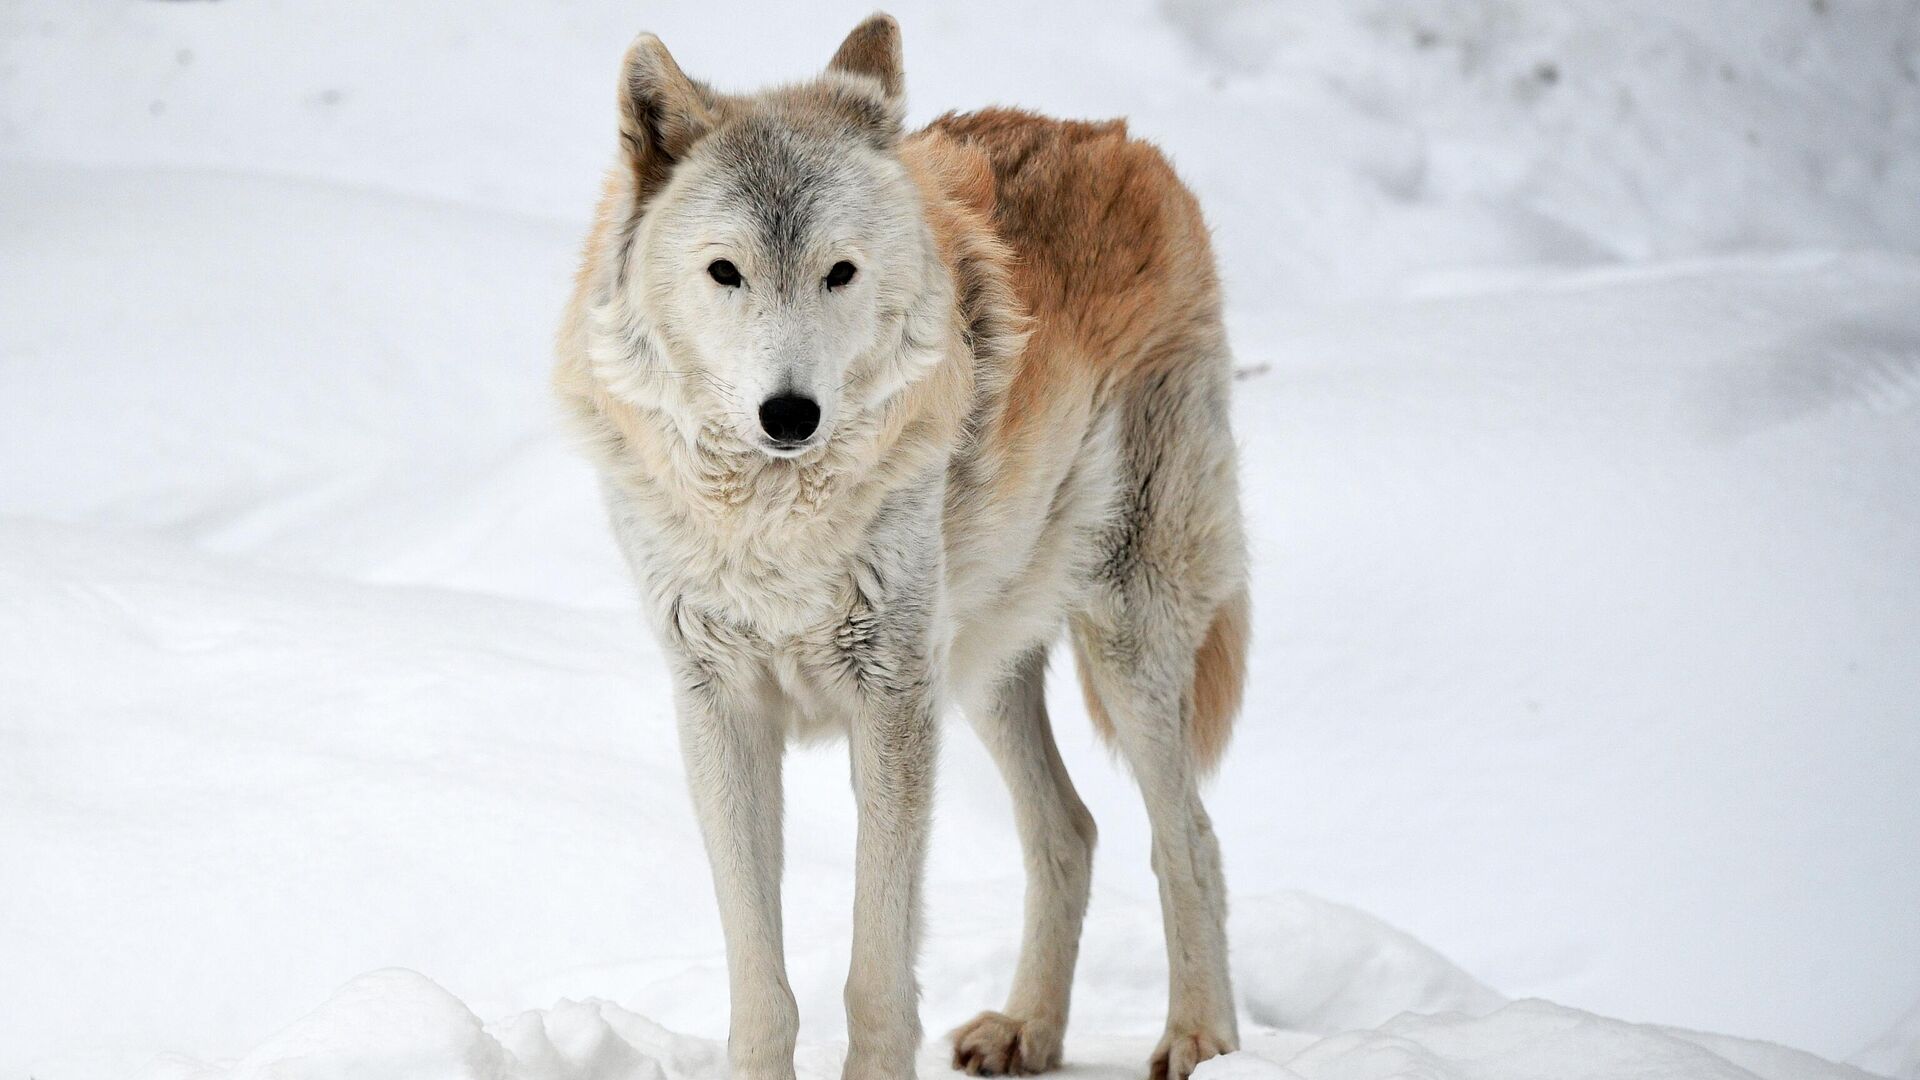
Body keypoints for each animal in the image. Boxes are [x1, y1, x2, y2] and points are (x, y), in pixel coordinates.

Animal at [552, 14, 1244, 1076]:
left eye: (840, 271)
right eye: (726, 272)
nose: (790, 414)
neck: (773, 524)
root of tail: (1122, 142)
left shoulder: (890, 699)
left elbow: (875, 967)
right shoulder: (720, 707)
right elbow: (760, 978)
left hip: (1123, 644)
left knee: (1191, 840)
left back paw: (1201, 1039)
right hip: (982, 666)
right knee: (1071, 830)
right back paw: (1028, 1031)